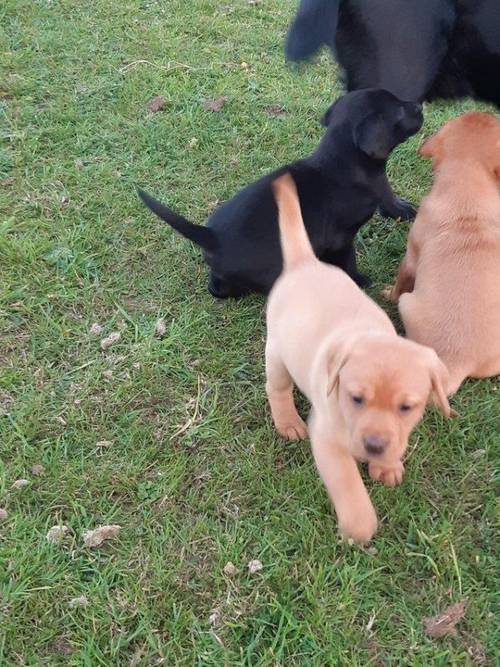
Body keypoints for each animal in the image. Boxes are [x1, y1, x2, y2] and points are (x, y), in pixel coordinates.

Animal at [138, 90, 422, 298]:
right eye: (399, 109)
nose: (420, 105)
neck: (341, 160)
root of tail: (212, 236)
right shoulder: (342, 238)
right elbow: (350, 259)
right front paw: (360, 280)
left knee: (217, 288)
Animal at [268, 172, 452, 544]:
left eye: (406, 407)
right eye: (356, 399)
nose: (374, 446)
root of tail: (304, 262)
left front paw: (388, 466)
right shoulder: (327, 440)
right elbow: (348, 484)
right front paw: (359, 526)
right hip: (277, 353)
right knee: (276, 389)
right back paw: (288, 422)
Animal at [390, 112, 500, 394]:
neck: (467, 188)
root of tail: (457, 365)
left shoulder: (410, 259)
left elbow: (399, 283)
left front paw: (387, 293)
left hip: (408, 303)